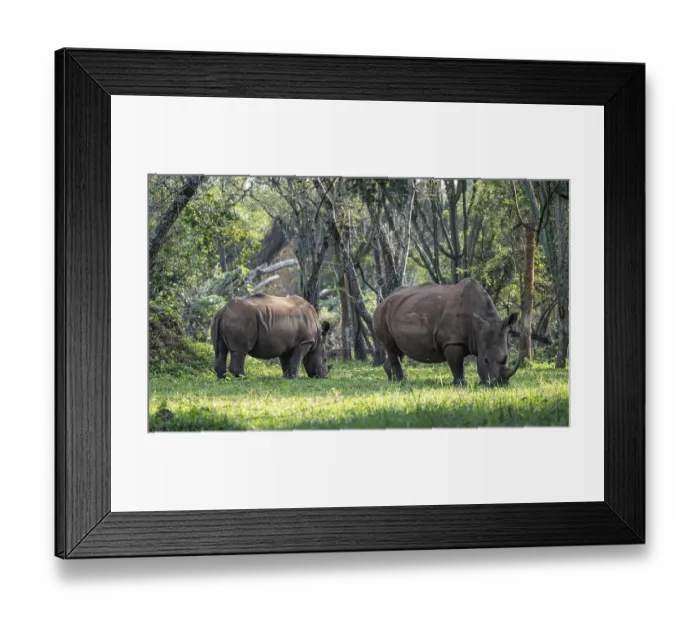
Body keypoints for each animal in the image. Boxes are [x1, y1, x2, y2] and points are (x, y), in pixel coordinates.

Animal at [373, 279, 521, 387]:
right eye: (486, 360)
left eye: (507, 358)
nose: (499, 384)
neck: (478, 328)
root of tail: (384, 299)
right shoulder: (452, 341)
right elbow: (456, 364)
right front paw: (461, 384)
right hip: (382, 311)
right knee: (390, 346)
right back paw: (401, 381)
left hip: (400, 308)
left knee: (398, 349)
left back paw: (393, 379)